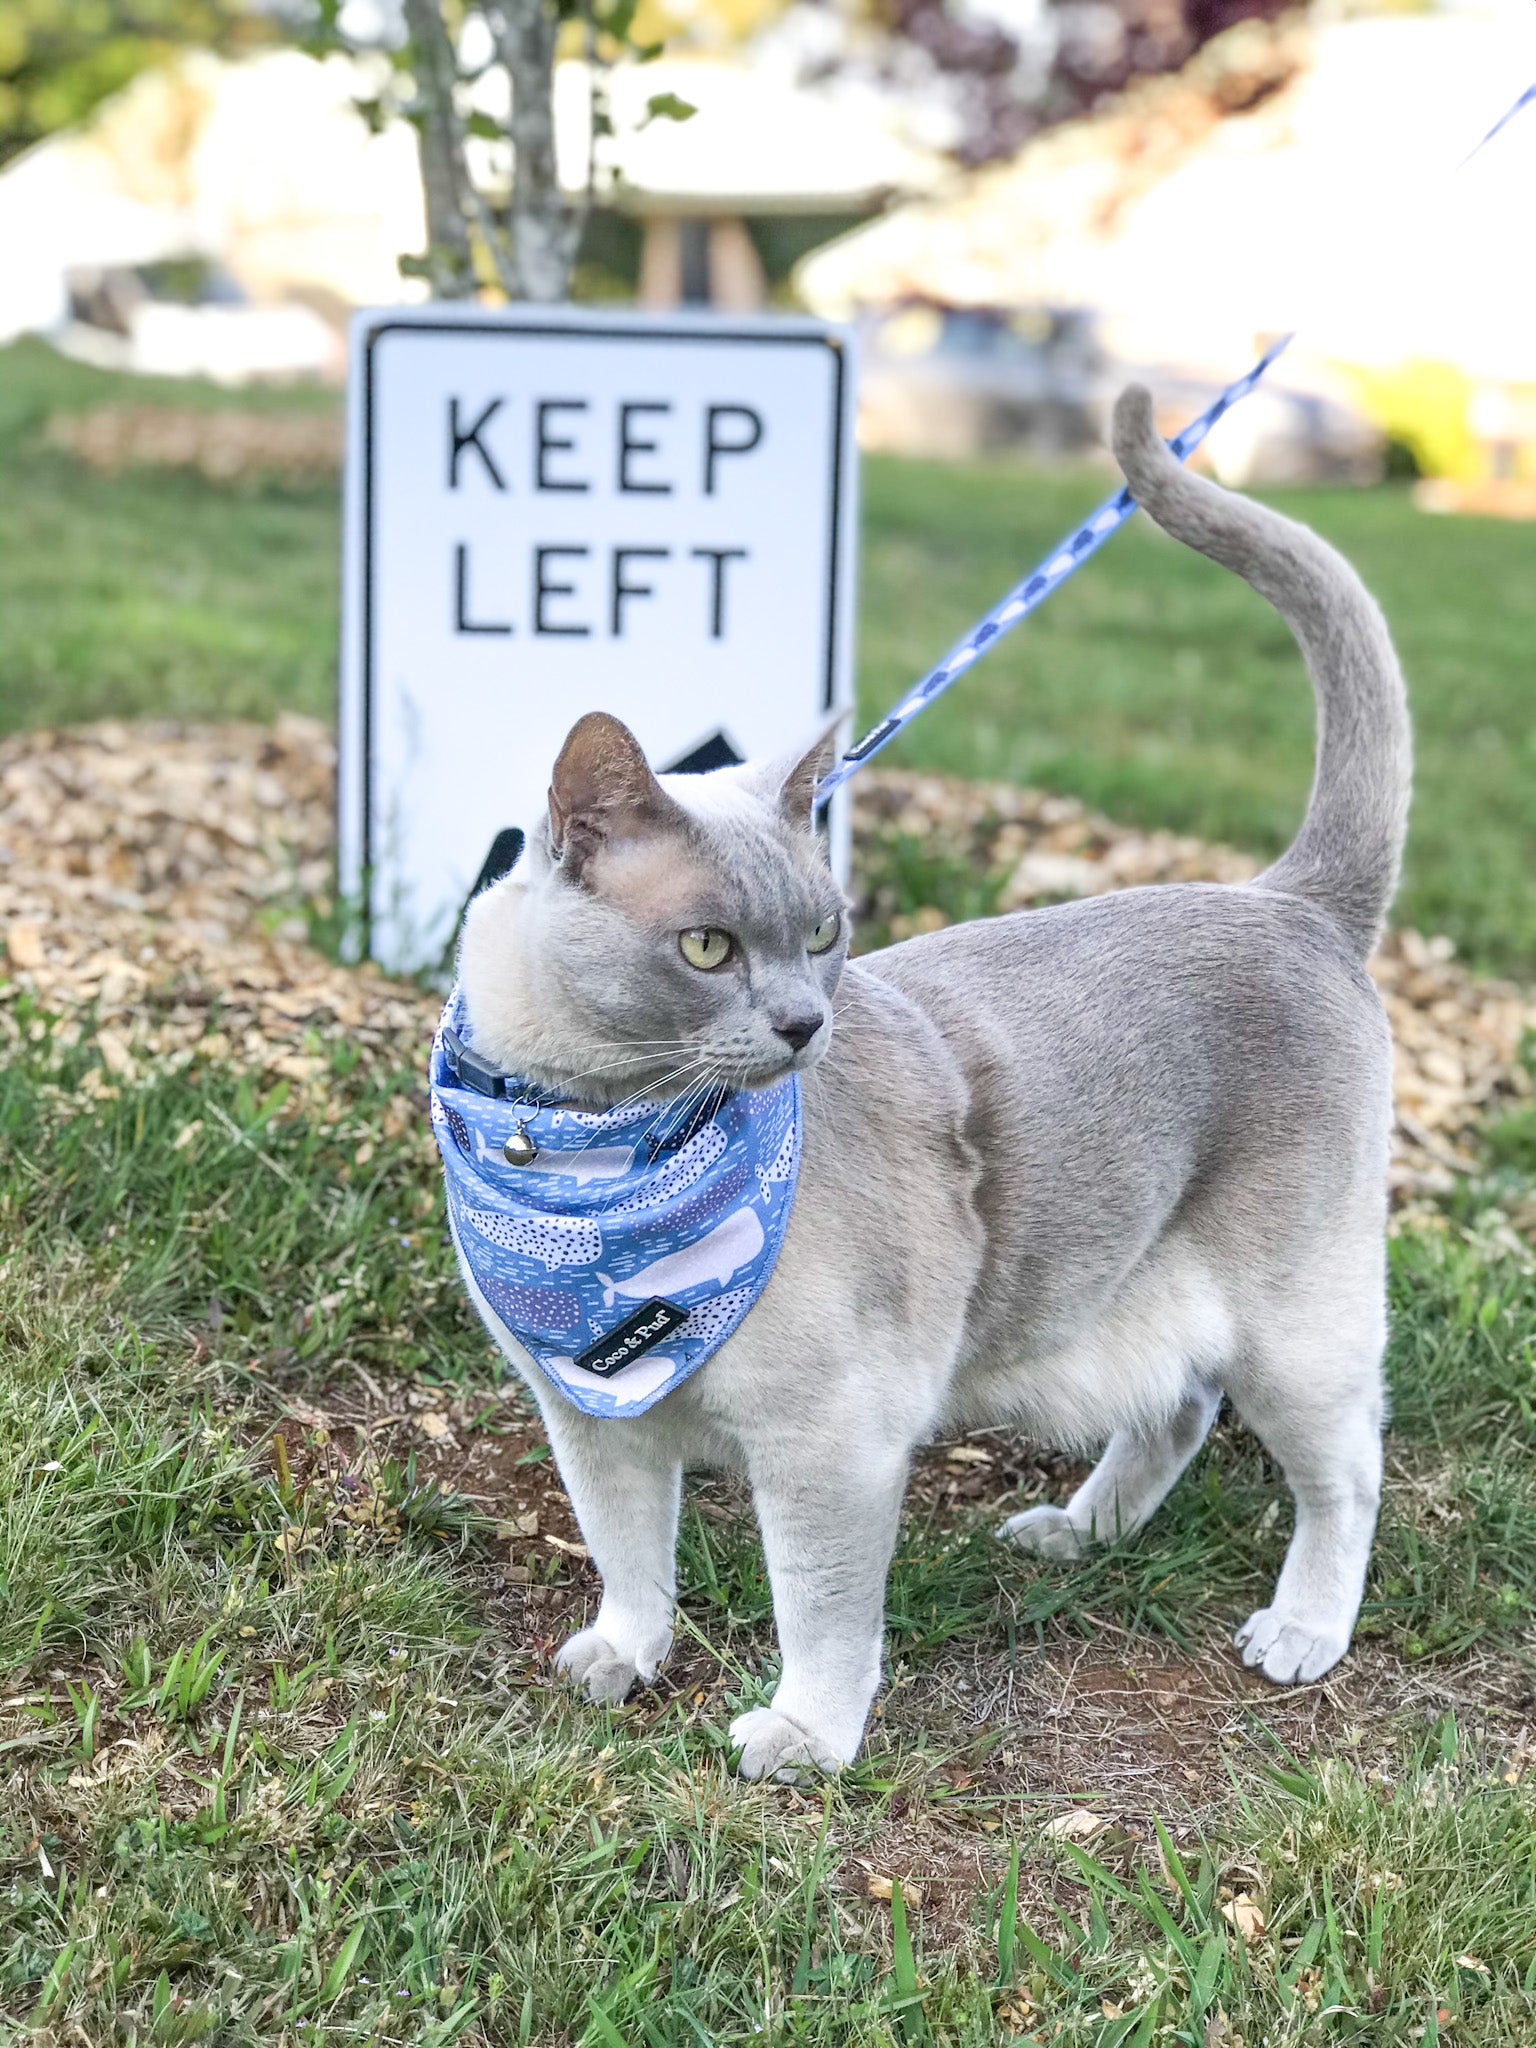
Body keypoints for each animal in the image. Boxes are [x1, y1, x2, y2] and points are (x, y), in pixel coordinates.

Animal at [450, 385, 1417, 1777]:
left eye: (824, 928)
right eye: (709, 946)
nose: (805, 1022)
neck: (584, 1142)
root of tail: (1293, 898)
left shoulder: (827, 1443)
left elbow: (820, 1606)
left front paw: (804, 1737)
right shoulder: (591, 1418)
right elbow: (628, 1555)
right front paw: (622, 1660)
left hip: (1296, 1323)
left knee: (1345, 1471)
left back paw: (1300, 1634)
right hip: (1140, 1293)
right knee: (1178, 1406)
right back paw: (1075, 1535)